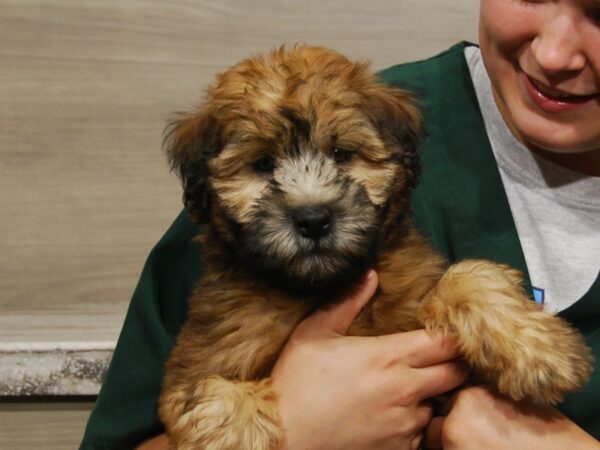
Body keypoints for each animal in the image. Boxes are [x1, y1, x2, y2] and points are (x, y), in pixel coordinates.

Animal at [157, 46, 592, 450]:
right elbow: (209, 389)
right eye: (263, 164)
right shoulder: (209, 350)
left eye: (340, 153)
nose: (313, 219)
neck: (319, 288)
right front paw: (237, 430)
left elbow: (469, 278)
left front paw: (540, 349)